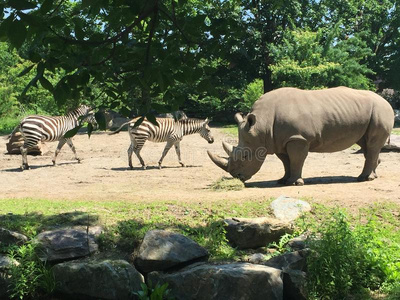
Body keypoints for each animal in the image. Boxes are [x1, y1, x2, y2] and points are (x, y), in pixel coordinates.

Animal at [208, 86, 396, 185]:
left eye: (246, 156)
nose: (237, 177)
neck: (261, 125)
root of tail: (387, 102)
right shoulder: (279, 141)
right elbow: (285, 161)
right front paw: (283, 180)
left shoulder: (298, 138)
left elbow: (296, 159)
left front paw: (295, 182)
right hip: (368, 114)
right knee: (366, 144)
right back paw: (371, 176)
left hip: (380, 110)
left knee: (371, 145)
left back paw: (363, 179)